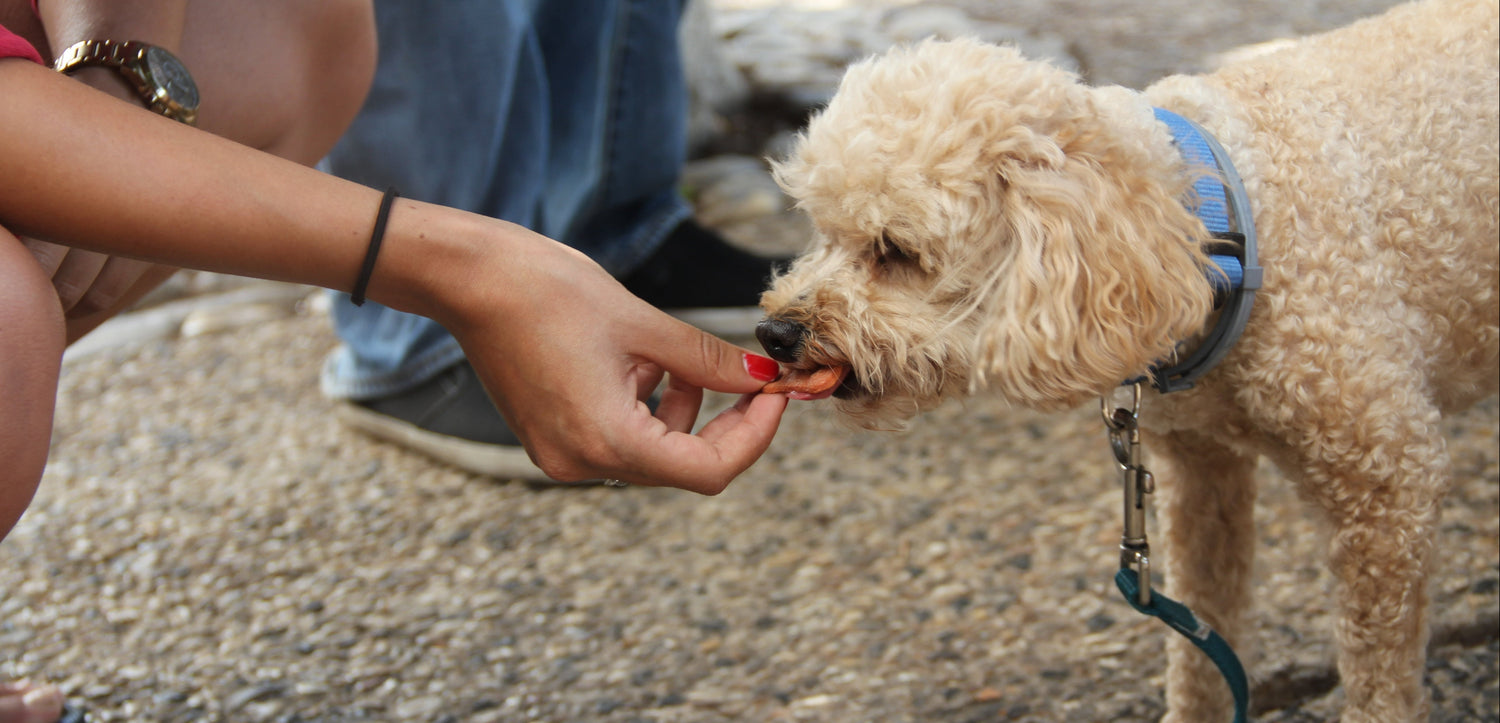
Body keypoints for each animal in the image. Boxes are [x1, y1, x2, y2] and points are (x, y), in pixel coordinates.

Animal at [756, 1, 1500, 717]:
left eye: (895, 250)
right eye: (820, 231)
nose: (774, 332)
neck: (1225, 230)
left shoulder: (1387, 490)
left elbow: (1379, 680)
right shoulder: (1203, 473)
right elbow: (1202, 647)